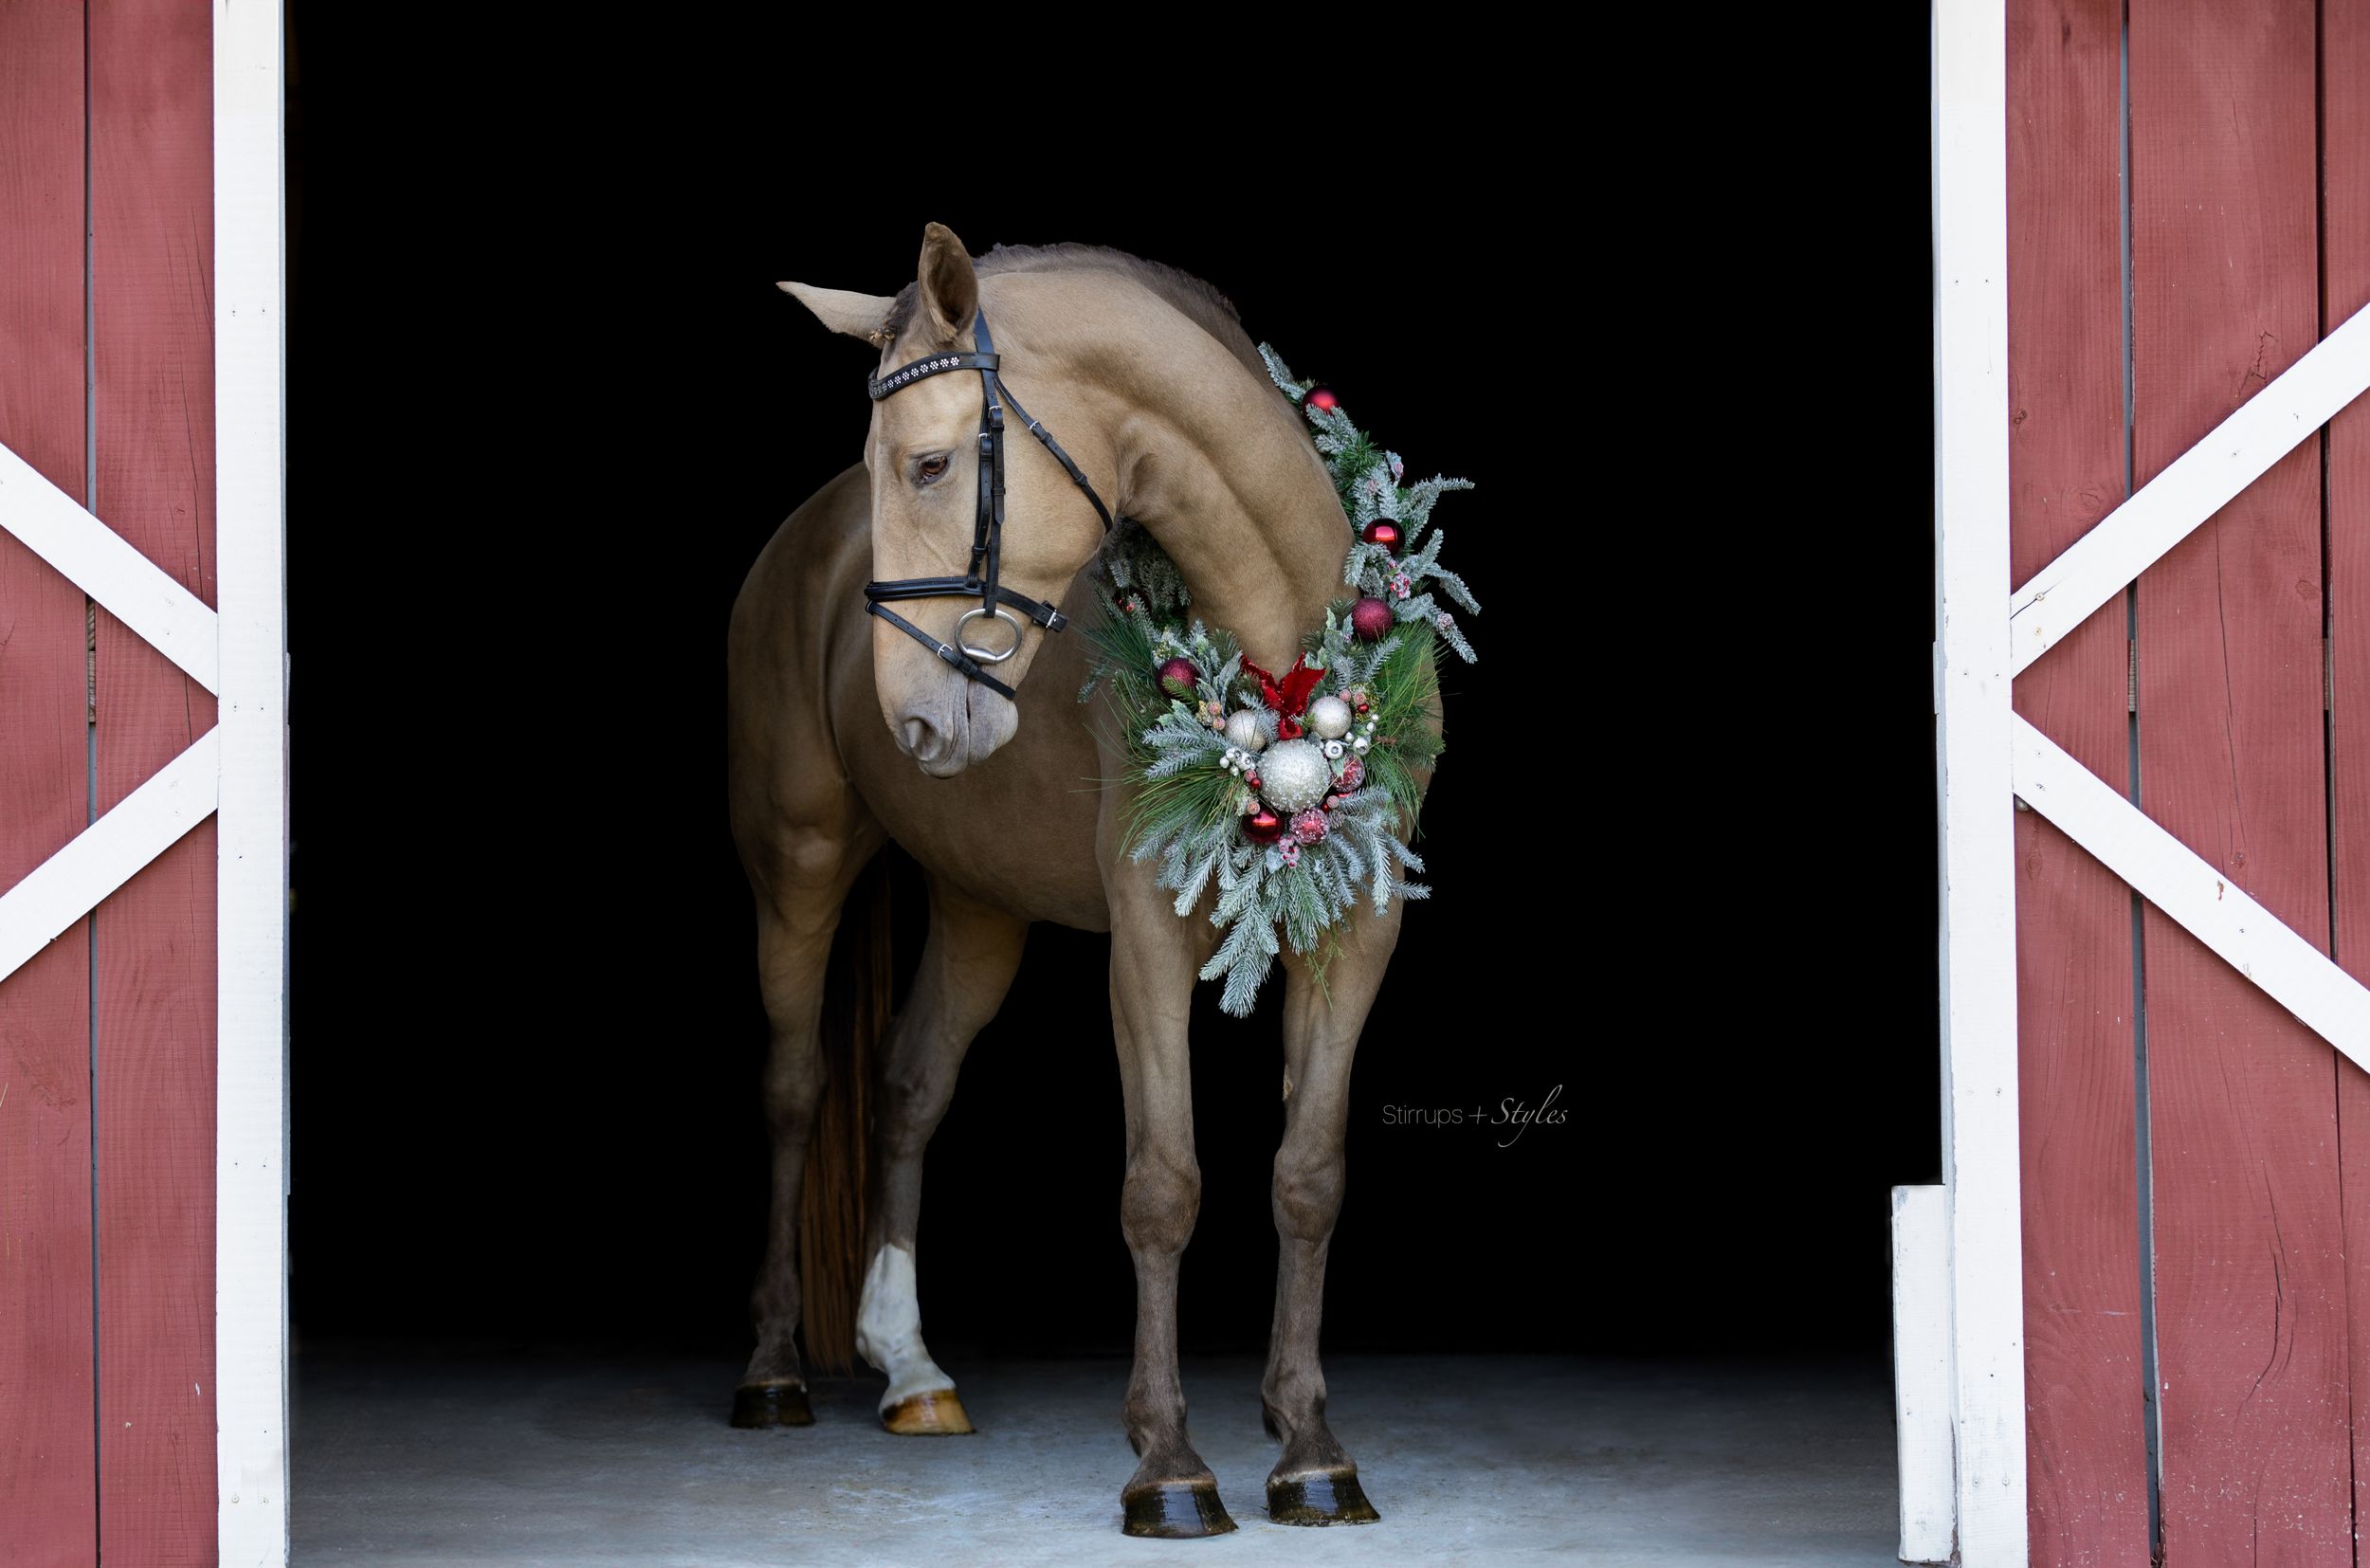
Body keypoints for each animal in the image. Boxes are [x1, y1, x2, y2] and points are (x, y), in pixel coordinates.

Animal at [726, 223, 1427, 1537]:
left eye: (931, 463)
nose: (913, 721)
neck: (1278, 648)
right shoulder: (1145, 935)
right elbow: (1162, 1184)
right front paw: (1170, 1466)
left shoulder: (1355, 928)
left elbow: (1307, 1177)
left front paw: (1310, 1447)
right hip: (797, 865)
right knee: (795, 1091)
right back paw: (775, 1369)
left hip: (980, 903)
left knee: (909, 1086)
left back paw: (910, 1368)